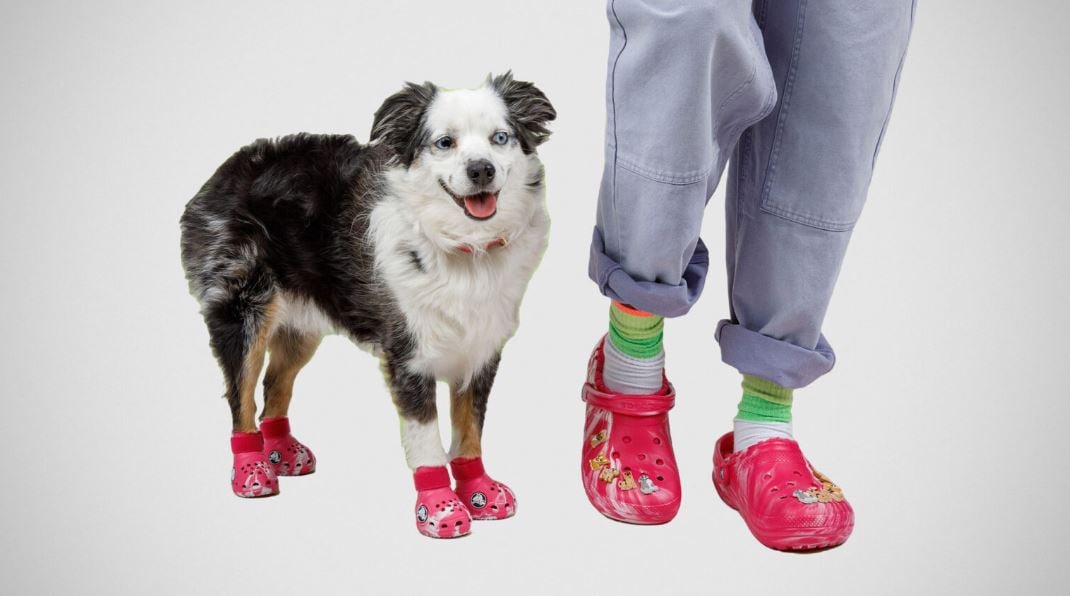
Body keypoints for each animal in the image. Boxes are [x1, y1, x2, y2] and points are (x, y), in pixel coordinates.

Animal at [180, 72, 556, 537]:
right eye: (444, 142)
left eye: (500, 138)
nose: (481, 169)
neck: (462, 246)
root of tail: (224, 169)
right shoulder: (408, 355)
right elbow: (427, 438)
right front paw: (439, 507)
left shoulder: (481, 348)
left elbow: (470, 428)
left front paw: (478, 488)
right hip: (244, 309)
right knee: (242, 394)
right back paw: (251, 469)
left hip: (303, 324)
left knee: (274, 384)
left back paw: (282, 453)